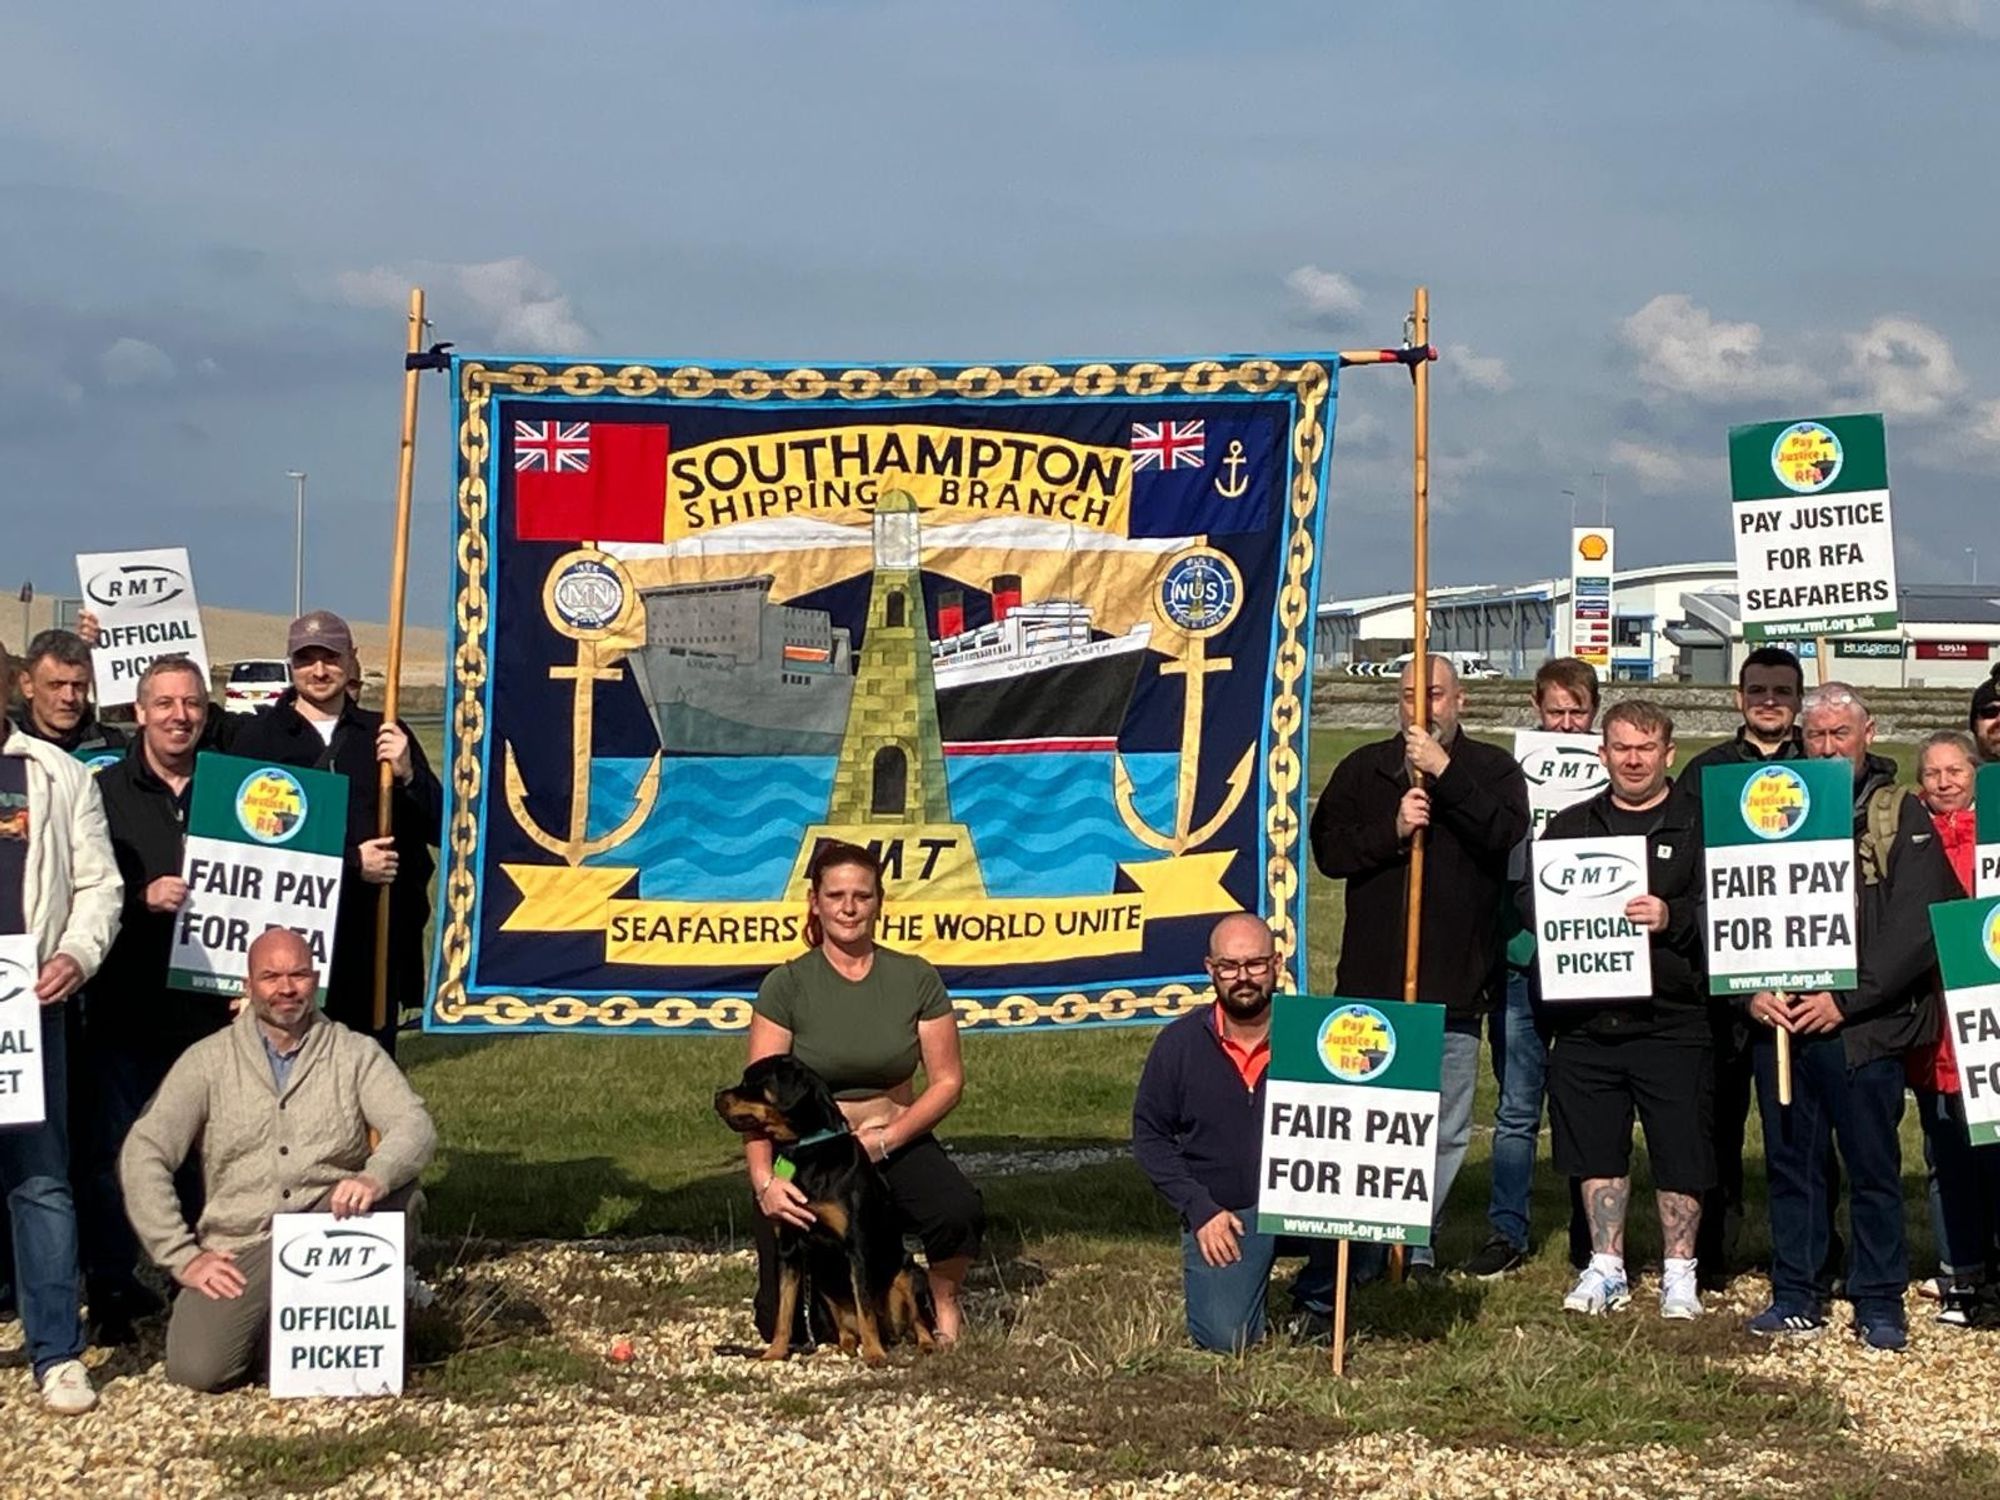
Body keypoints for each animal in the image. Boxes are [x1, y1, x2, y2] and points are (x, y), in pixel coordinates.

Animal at [720, 1056, 936, 1360]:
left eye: (750, 1082)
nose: (717, 1097)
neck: (806, 1151)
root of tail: (892, 1333)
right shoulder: (790, 1250)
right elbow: (784, 1311)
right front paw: (774, 1352)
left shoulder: (857, 1245)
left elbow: (865, 1305)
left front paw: (874, 1355)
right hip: (823, 1283)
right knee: (844, 1326)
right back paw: (846, 1345)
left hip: (910, 1271)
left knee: (917, 1318)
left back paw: (924, 1343)